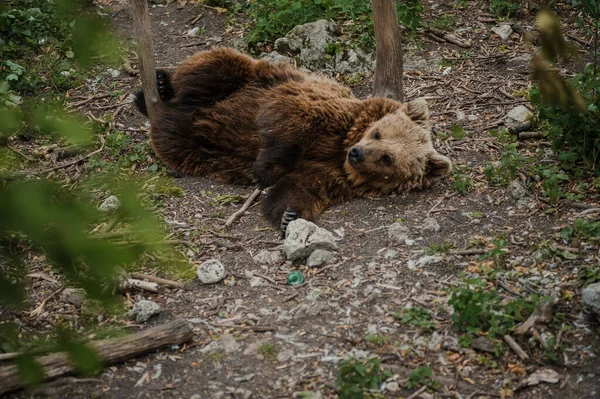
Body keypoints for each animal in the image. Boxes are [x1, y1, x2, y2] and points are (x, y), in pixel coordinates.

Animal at [134, 47, 452, 231]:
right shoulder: (317, 104)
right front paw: (264, 170)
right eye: (378, 132)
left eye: (387, 158)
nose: (357, 153)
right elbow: (292, 118)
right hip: (249, 75)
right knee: (214, 67)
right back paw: (158, 86)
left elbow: (301, 186)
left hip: (190, 146)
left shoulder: (332, 174)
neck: (339, 146)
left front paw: (290, 214)